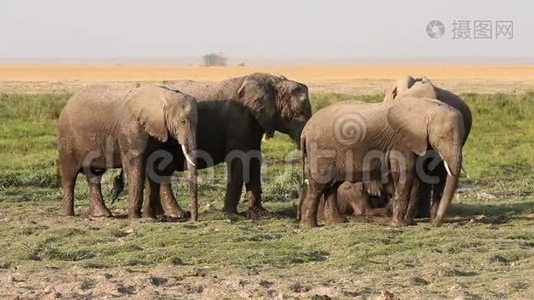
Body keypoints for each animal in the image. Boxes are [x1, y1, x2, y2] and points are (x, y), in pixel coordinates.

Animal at [57, 85, 199, 220]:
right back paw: (67, 215)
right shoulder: (131, 128)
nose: (193, 219)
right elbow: (135, 166)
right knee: (70, 176)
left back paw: (101, 215)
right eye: (182, 122)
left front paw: (149, 218)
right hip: (67, 139)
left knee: (94, 175)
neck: (165, 95)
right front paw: (136, 218)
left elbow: (155, 167)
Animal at [114, 72, 314, 218]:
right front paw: (231, 214)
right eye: (301, 112)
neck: (274, 82)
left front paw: (260, 214)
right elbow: (239, 159)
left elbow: (254, 160)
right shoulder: (240, 118)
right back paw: (177, 214)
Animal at [300, 96, 466, 227]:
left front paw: (409, 222)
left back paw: (337, 222)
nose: (435, 223)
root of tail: (305, 130)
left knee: (333, 186)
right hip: (321, 150)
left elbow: (418, 177)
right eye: (442, 138)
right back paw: (310, 226)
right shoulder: (400, 142)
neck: (427, 107)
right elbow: (406, 175)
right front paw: (399, 225)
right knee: (319, 185)